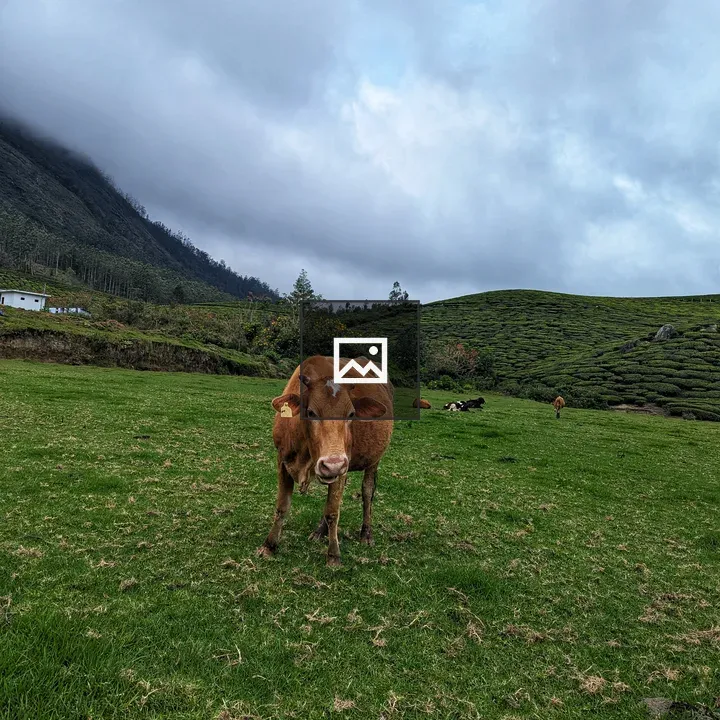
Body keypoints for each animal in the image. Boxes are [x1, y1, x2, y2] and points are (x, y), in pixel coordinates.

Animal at [259, 355, 394, 566]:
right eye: (311, 412)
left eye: (351, 414)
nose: (333, 464)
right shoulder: (282, 460)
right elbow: (282, 507)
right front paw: (269, 545)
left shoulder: (342, 465)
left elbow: (333, 512)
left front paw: (333, 555)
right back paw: (320, 531)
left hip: (372, 461)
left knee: (367, 491)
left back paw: (366, 533)